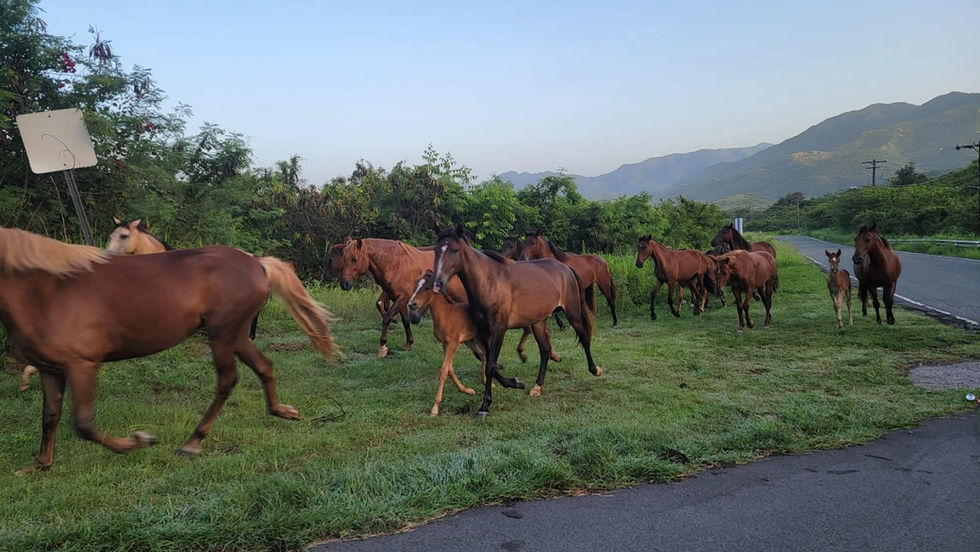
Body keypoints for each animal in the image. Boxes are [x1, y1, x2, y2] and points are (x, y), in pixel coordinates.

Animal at [0, 226, 337, 474]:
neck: (46, 290)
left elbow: (83, 423)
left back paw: (193, 442)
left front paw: (139, 440)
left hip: (223, 336)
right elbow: (50, 416)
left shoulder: (82, 365)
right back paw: (282, 411)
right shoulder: (51, 369)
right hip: (236, 335)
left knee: (227, 380)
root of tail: (257, 262)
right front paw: (40, 465)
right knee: (264, 365)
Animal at [407, 270, 559, 416]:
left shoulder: (453, 343)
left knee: (490, 356)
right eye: (415, 287)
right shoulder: (446, 344)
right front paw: (466, 390)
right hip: (472, 340)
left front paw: (435, 409)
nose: (411, 304)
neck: (447, 314)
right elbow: (450, 369)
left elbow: (444, 370)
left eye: (427, 288)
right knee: (484, 356)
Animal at [432, 228, 601, 416]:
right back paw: (537, 387)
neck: (489, 282)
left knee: (584, 338)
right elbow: (486, 360)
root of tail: (566, 268)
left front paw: (485, 406)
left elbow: (490, 364)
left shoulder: (499, 330)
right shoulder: (483, 331)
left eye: (455, 250)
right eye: (436, 250)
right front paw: (515, 383)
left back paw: (595, 370)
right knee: (545, 350)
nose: (438, 283)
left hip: (572, 314)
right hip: (538, 321)